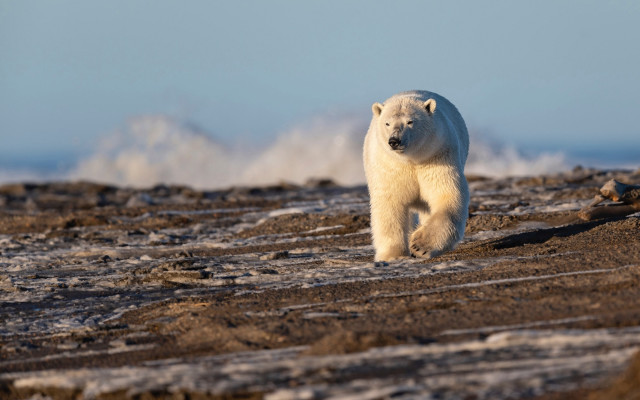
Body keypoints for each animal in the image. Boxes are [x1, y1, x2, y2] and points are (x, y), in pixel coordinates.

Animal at [363, 90, 469, 262]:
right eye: (387, 123)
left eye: (410, 122)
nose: (394, 141)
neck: (412, 159)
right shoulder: (390, 166)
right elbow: (390, 205)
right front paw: (393, 254)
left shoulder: (438, 155)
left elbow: (447, 195)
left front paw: (419, 246)